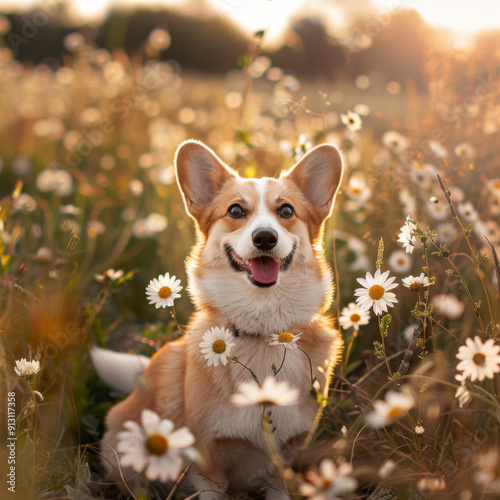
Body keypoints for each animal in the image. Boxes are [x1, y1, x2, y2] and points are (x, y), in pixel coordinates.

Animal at [94, 139, 344, 498]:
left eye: (286, 211)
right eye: (236, 211)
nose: (265, 238)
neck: (262, 334)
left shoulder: (283, 463)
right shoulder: (207, 465)